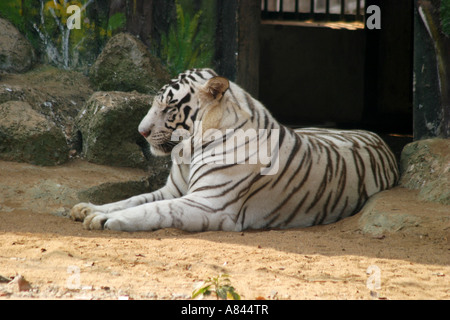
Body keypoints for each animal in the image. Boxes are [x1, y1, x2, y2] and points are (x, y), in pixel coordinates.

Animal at [69, 69, 398, 231]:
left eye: (169, 107)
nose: (141, 131)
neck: (187, 155)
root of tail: (372, 133)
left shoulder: (208, 203)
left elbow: (152, 210)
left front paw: (102, 220)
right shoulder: (173, 191)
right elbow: (132, 199)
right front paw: (89, 208)